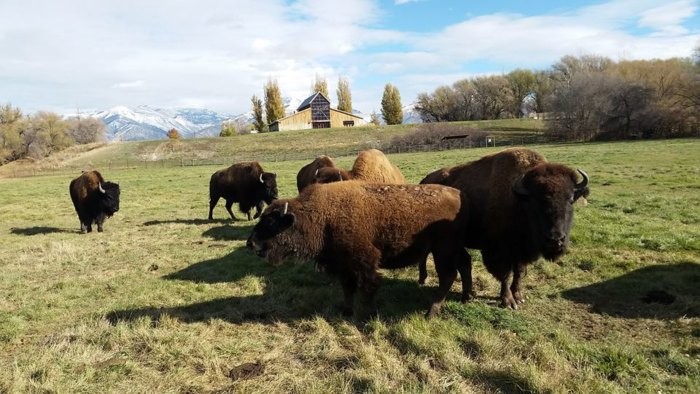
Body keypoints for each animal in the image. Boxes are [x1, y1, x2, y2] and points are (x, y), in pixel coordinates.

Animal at [246, 182, 470, 320]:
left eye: (271, 221)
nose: (251, 243)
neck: (320, 216)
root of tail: (459, 195)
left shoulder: (364, 262)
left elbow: (368, 287)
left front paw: (369, 314)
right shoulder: (343, 266)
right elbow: (348, 288)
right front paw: (347, 311)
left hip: (443, 250)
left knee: (448, 276)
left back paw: (430, 313)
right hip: (453, 249)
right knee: (464, 264)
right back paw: (465, 298)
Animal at [418, 147, 588, 308]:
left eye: (570, 200)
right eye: (535, 201)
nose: (555, 240)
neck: (519, 201)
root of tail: (424, 180)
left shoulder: (521, 252)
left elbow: (519, 272)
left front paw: (518, 296)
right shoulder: (499, 251)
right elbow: (505, 274)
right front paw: (508, 301)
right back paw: (423, 279)